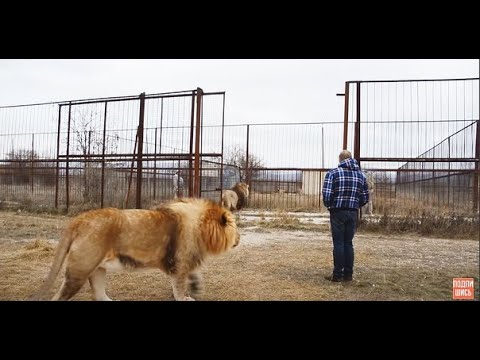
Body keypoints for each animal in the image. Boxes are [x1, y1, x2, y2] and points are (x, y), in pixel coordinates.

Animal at [30, 197, 240, 300]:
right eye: (234, 227)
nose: (238, 239)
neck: (201, 226)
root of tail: (78, 220)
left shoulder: (186, 261)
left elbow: (194, 275)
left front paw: (196, 287)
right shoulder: (178, 264)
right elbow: (179, 289)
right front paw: (186, 297)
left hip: (97, 270)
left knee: (99, 295)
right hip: (79, 271)